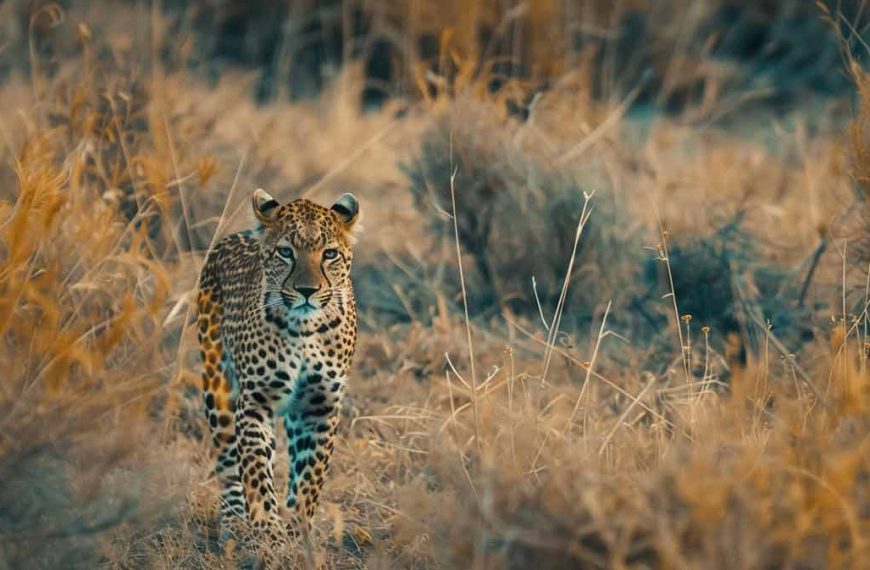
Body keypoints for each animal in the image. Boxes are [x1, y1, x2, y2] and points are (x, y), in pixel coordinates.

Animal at [196, 187, 360, 536]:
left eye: (329, 254)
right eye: (286, 252)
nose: (307, 290)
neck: (305, 330)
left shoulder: (320, 405)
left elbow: (310, 474)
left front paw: (298, 528)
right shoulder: (256, 401)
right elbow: (256, 469)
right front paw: (266, 529)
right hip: (217, 385)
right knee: (228, 461)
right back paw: (234, 523)